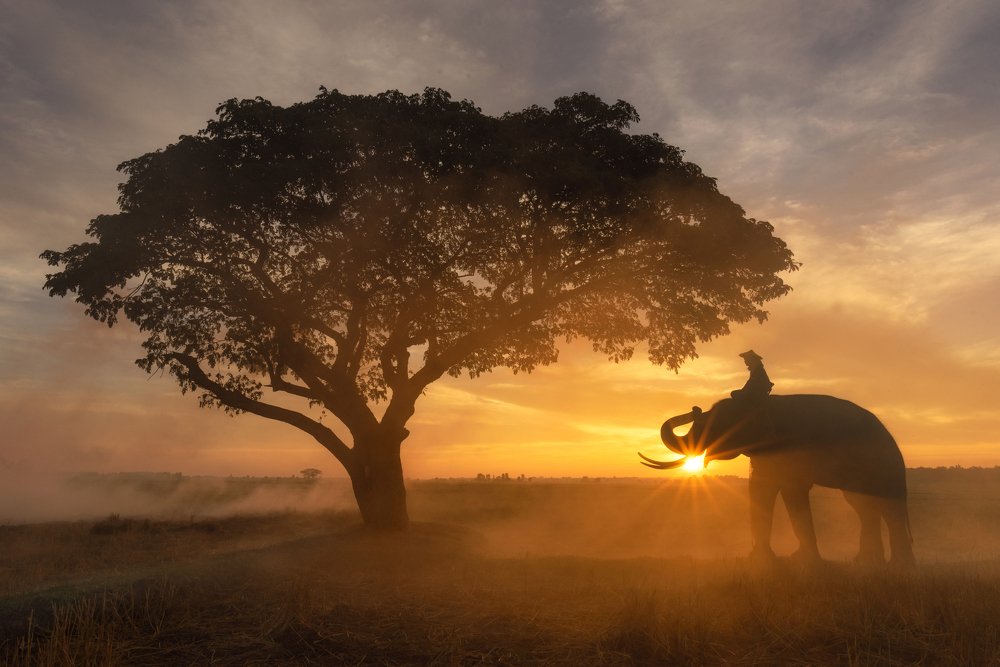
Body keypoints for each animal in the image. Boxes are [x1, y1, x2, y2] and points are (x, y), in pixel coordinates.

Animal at [640, 394, 915, 566]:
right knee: (864, 507)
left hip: (883, 467)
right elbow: (760, 488)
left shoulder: (793, 449)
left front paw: (805, 562)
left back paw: (899, 566)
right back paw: (869, 562)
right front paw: (761, 561)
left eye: (716, 424)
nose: (695, 408)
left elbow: (793, 490)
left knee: (888, 508)